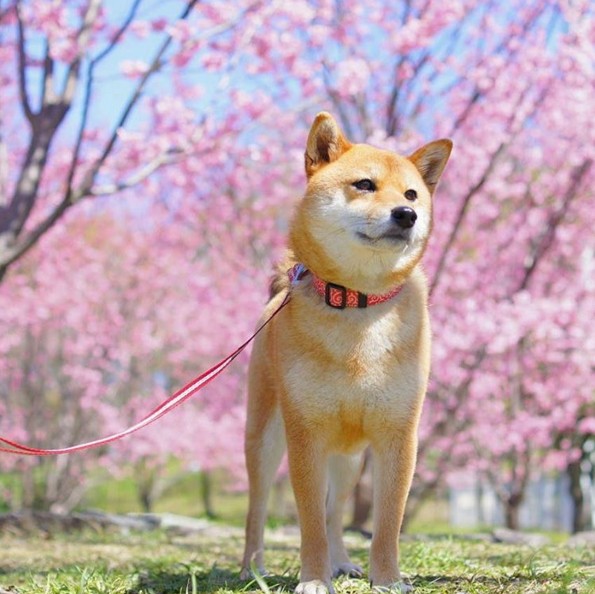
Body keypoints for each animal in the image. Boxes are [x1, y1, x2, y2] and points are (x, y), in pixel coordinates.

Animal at [241, 112, 452, 592]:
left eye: (412, 194)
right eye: (365, 185)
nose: (407, 215)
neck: (357, 303)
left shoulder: (398, 435)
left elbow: (387, 521)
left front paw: (387, 578)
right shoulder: (305, 434)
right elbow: (309, 522)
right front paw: (315, 579)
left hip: (349, 460)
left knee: (336, 510)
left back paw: (343, 561)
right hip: (265, 439)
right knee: (258, 507)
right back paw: (251, 569)